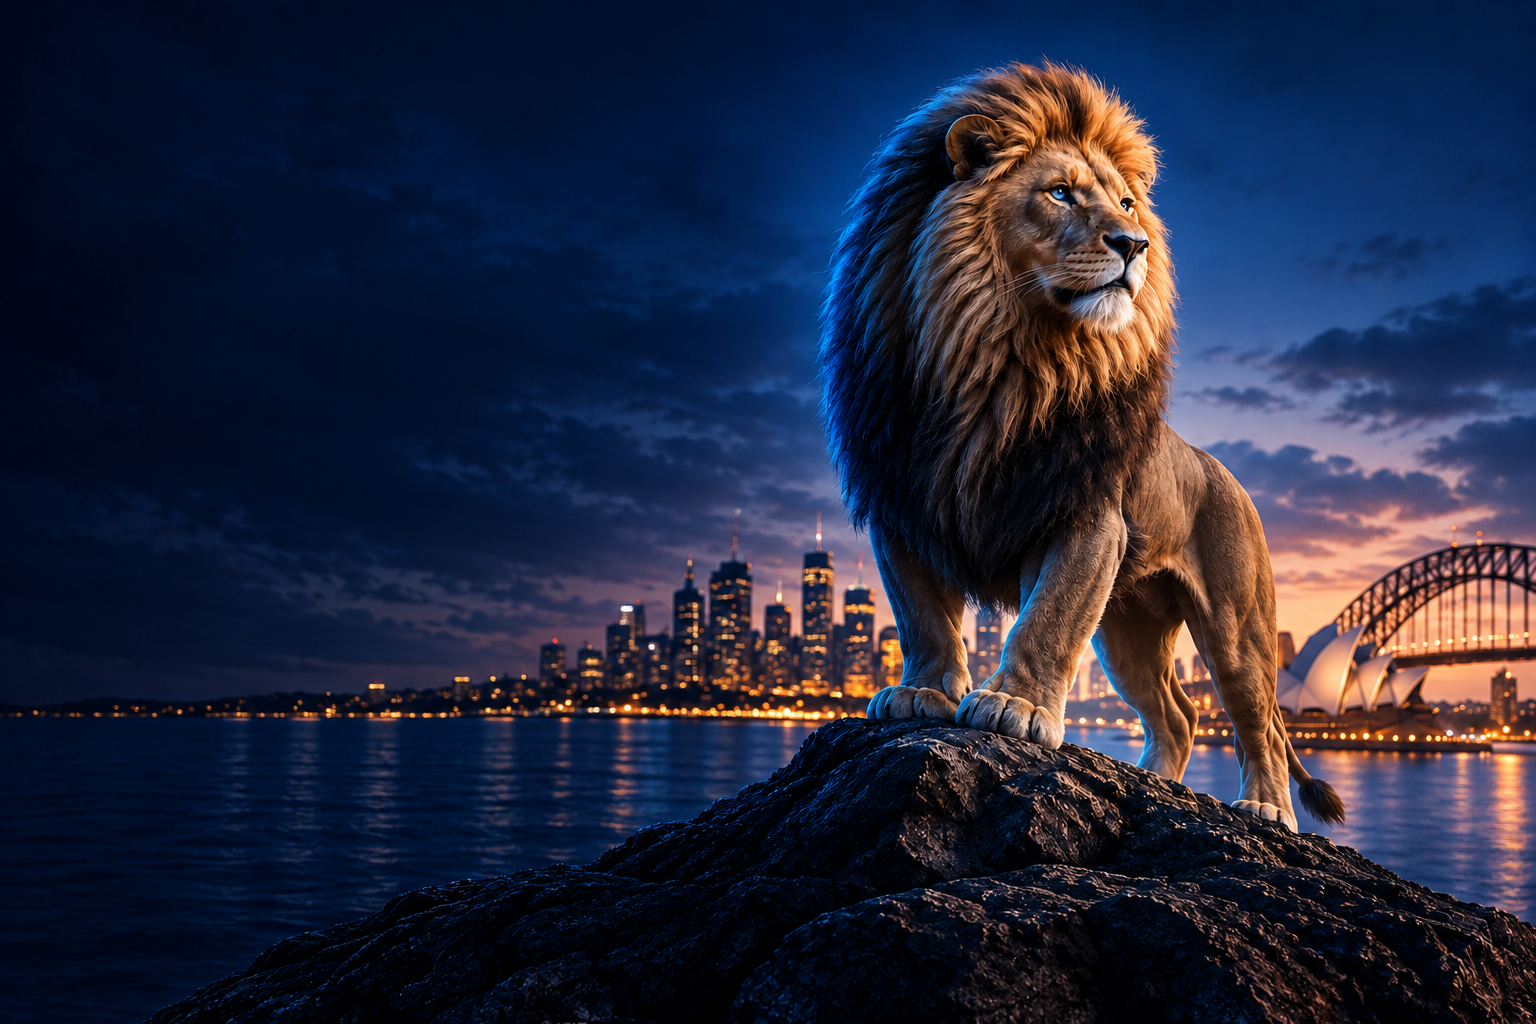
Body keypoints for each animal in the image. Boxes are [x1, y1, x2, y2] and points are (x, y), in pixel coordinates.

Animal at [820, 63, 1343, 831]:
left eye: (1126, 203)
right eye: (1060, 192)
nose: (1135, 244)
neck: (1002, 359)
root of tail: (1223, 473)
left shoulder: (1085, 515)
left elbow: (1048, 617)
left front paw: (1014, 706)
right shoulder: (903, 504)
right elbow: (922, 616)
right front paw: (923, 694)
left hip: (1238, 628)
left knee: (1260, 723)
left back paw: (1266, 809)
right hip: (1128, 629)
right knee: (1179, 714)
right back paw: (1155, 782)